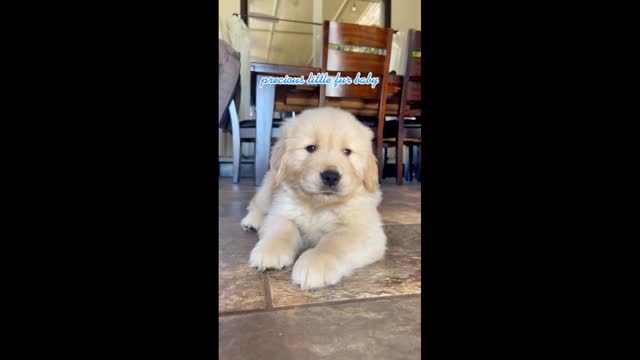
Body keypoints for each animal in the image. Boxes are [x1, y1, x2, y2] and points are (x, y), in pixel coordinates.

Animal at [240, 106, 388, 290]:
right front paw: (270, 250)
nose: (331, 176)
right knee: (257, 205)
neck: (317, 205)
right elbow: (282, 230)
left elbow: (334, 241)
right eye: (310, 148)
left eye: (347, 152)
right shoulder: (281, 213)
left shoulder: (363, 230)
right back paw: (251, 221)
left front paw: (316, 263)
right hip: (269, 186)